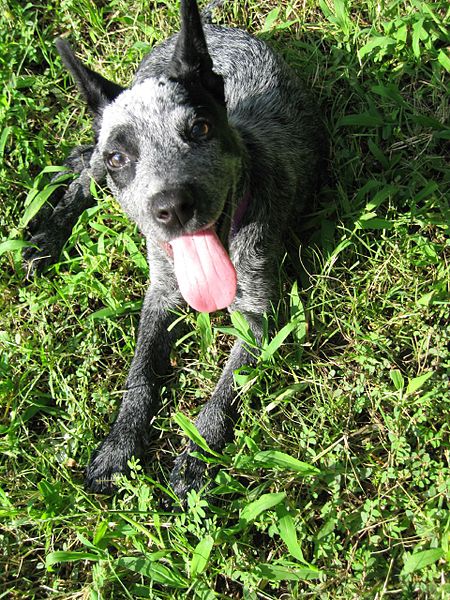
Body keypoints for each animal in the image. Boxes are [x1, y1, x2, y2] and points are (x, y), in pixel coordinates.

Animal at [23, 0, 324, 496]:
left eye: (200, 128)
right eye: (121, 157)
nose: (172, 207)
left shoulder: (258, 314)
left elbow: (227, 389)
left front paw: (198, 454)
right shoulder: (160, 294)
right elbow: (141, 372)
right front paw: (119, 444)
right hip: (96, 156)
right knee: (84, 167)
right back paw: (48, 235)